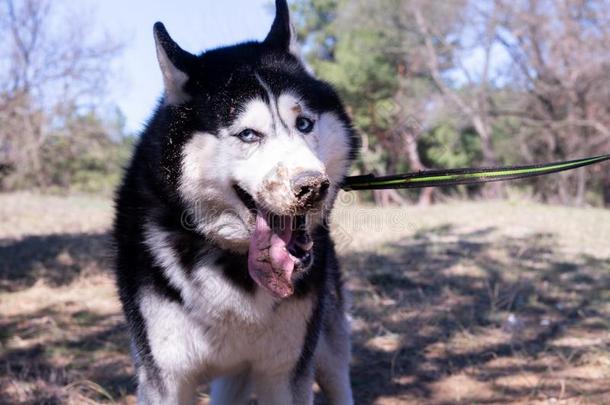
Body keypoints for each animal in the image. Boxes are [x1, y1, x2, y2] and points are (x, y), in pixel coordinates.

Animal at [113, 1, 356, 402]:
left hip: (327, 350)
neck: (232, 261)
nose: (312, 186)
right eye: (248, 134)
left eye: (304, 124)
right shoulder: (165, 379)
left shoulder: (284, 373)